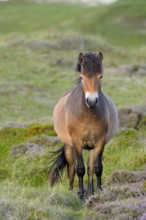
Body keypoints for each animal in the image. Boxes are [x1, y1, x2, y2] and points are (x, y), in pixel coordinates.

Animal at [48, 51, 118, 199]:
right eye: (82, 77)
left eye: (100, 76)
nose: (91, 101)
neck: (88, 115)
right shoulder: (77, 143)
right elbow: (79, 168)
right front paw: (80, 193)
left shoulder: (100, 143)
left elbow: (97, 167)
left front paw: (99, 190)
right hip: (69, 147)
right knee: (71, 169)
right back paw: (71, 190)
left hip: (92, 147)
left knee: (90, 167)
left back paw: (91, 191)